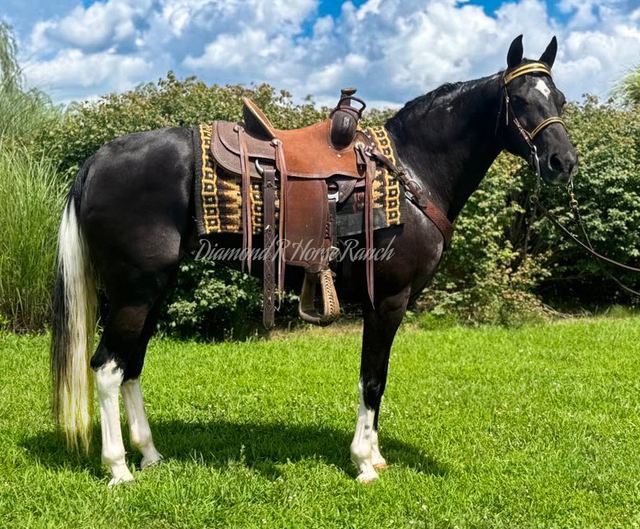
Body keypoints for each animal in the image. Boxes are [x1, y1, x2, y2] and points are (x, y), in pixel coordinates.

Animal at [50, 35, 577, 486]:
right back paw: (118, 468)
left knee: (132, 364)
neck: (410, 171)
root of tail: (97, 159)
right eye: (520, 101)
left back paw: (150, 454)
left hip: (152, 290)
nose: (563, 162)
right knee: (107, 367)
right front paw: (364, 462)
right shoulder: (387, 300)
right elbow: (372, 379)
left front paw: (375, 456)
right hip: (134, 290)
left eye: (561, 100)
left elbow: (378, 380)